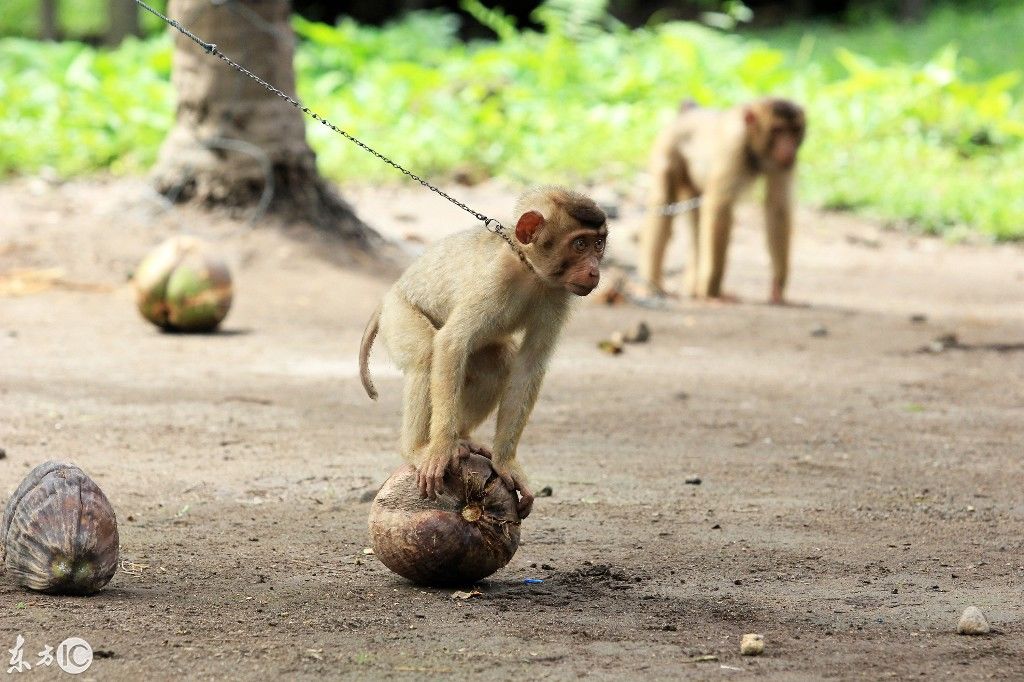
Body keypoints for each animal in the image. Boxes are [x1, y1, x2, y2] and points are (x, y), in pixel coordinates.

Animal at [358, 186, 606, 516]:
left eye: (599, 244)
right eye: (580, 244)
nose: (594, 271)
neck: (527, 268)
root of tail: (389, 295)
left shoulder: (556, 294)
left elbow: (528, 364)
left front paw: (506, 463)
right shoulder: (495, 280)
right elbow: (452, 342)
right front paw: (440, 449)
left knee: (498, 364)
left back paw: (462, 439)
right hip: (398, 314)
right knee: (426, 355)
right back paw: (418, 448)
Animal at [634, 96, 802, 303]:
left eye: (794, 131)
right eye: (777, 130)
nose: (789, 149)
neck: (753, 147)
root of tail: (688, 112)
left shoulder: (782, 164)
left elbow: (777, 207)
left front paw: (777, 285)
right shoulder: (734, 147)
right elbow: (719, 207)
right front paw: (712, 291)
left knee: (696, 224)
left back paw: (693, 288)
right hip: (668, 148)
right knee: (664, 202)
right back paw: (652, 285)